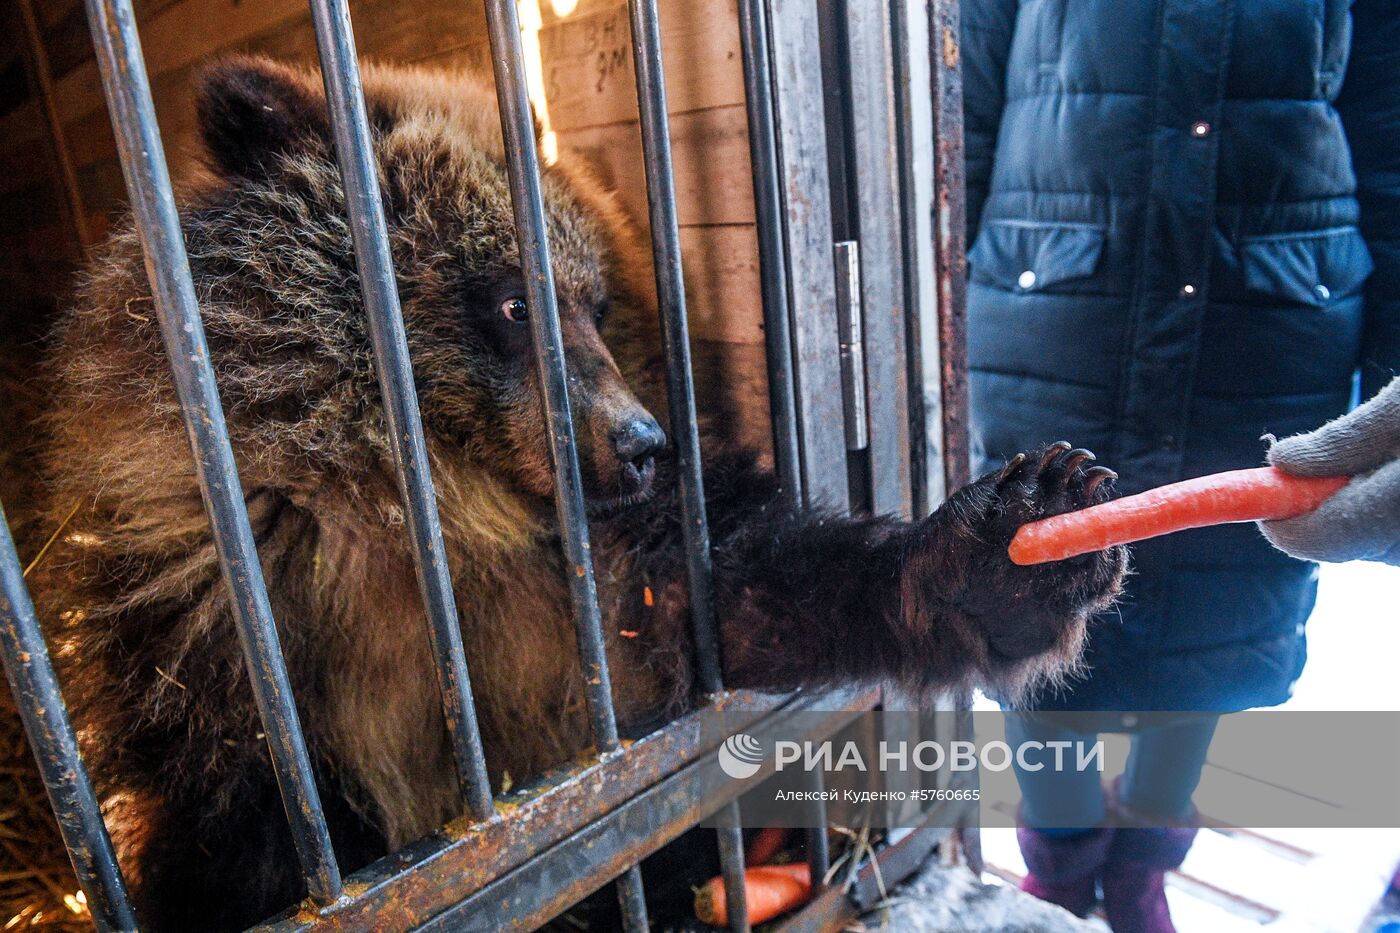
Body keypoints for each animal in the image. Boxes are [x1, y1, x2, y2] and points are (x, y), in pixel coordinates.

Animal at [30, 54, 1125, 924]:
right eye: (516, 301)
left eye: (595, 302)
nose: (640, 442)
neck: (433, 512)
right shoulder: (228, 625)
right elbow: (250, 827)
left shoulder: (594, 581)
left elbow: (736, 594)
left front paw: (1009, 554)